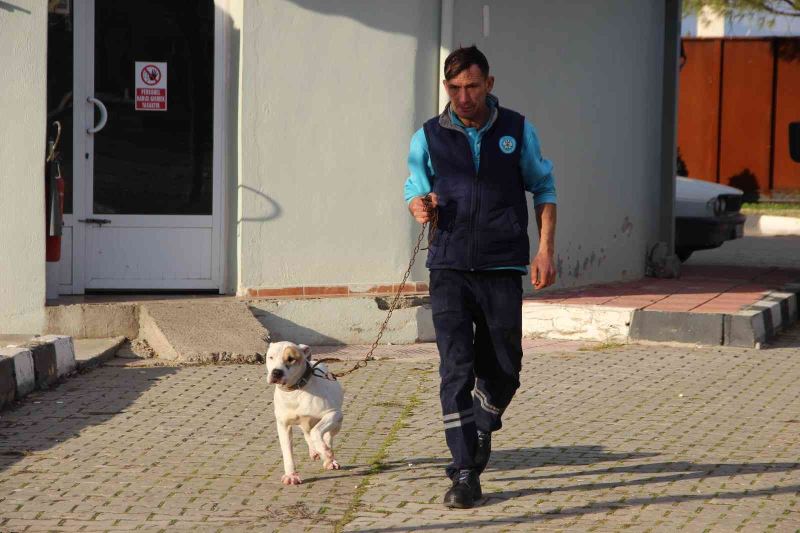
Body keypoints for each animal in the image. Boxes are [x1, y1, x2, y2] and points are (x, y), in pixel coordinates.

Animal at [268, 340, 342, 482]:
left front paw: (326, 453)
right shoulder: (283, 426)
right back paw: (315, 451)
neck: (295, 391)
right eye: (271, 357)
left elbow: (317, 432)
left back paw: (329, 458)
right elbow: (287, 452)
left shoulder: (333, 414)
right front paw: (291, 475)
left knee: (327, 436)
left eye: (291, 359)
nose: (276, 372)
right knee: (308, 434)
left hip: (337, 424)